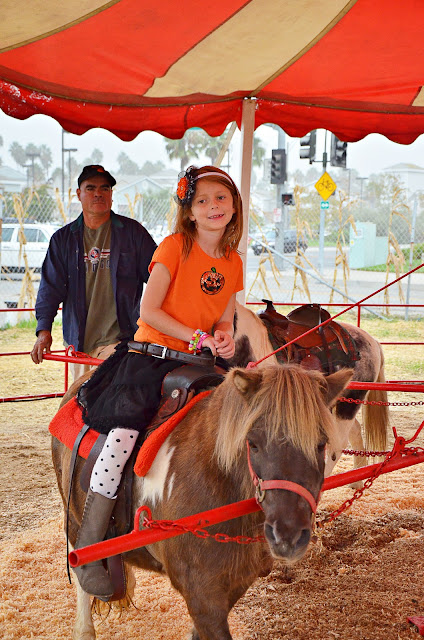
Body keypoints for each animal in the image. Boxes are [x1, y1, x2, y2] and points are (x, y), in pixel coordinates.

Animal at [52, 363, 353, 640]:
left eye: (321, 444)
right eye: (253, 443)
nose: (288, 536)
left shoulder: (233, 585)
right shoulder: (202, 596)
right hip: (75, 521)